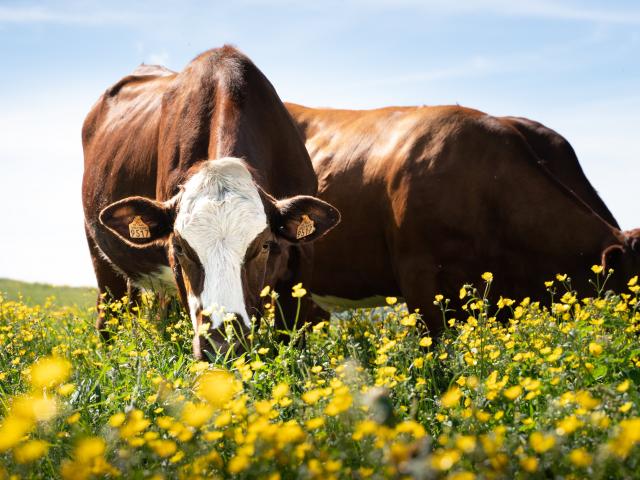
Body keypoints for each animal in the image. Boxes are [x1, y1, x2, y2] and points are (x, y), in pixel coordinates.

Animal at [84, 46, 340, 360]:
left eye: (265, 245)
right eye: (179, 247)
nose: (222, 344)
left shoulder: (301, 256)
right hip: (100, 258)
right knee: (110, 316)